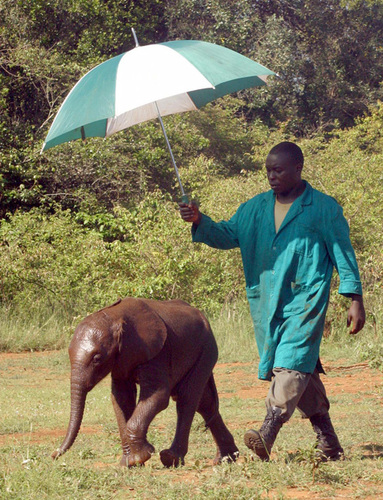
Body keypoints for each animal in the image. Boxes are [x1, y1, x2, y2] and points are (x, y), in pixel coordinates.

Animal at [52, 296, 238, 464]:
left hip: (206, 350)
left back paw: (171, 458)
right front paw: (130, 462)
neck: (114, 315)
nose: (54, 454)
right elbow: (121, 399)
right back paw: (227, 459)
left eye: (97, 359)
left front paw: (142, 456)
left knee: (187, 398)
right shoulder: (122, 358)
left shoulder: (157, 352)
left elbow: (158, 396)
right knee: (205, 403)